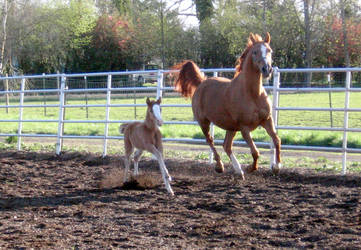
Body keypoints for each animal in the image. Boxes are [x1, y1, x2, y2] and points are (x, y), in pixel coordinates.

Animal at [173, 32, 280, 180]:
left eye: (270, 50)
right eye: (255, 52)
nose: (267, 69)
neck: (252, 94)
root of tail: (202, 83)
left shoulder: (266, 120)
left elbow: (276, 140)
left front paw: (276, 167)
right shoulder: (244, 128)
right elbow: (255, 152)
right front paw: (250, 168)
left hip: (231, 127)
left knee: (226, 145)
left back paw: (238, 170)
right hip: (204, 122)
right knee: (210, 141)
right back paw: (220, 166)